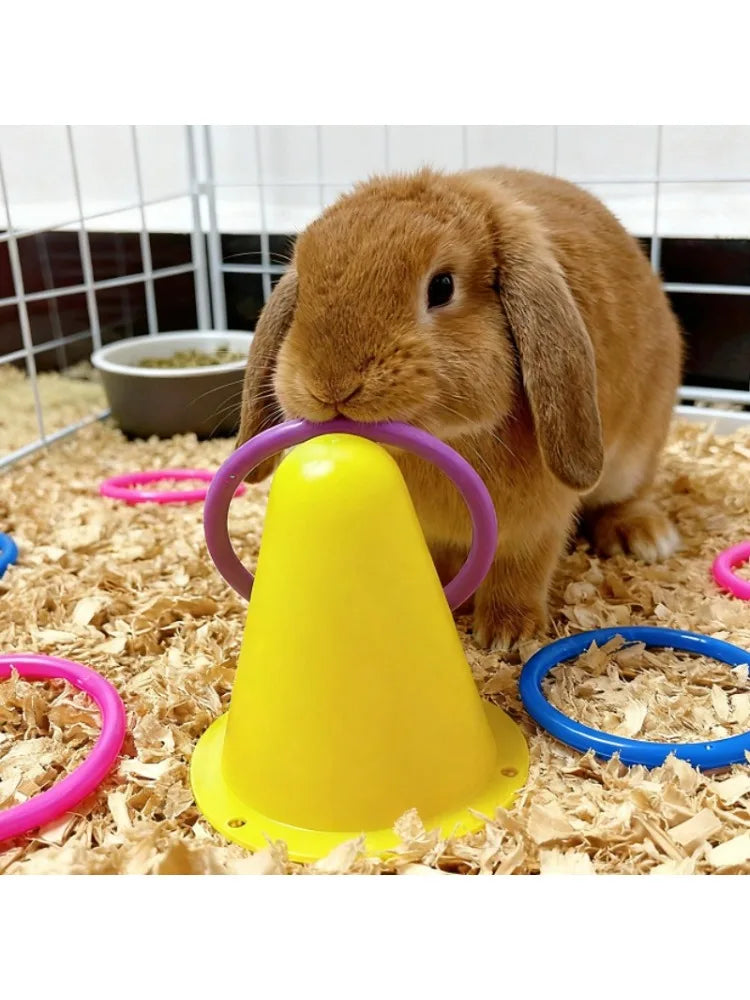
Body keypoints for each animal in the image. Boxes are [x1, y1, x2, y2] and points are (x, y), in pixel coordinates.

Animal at [236, 166, 683, 650]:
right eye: (303, 287)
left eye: (442, 287)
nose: (331, 386)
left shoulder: (536, 524)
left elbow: (521, 569)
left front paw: (508, 635)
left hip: (634, 455)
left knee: (628, 497)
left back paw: (644, 537)